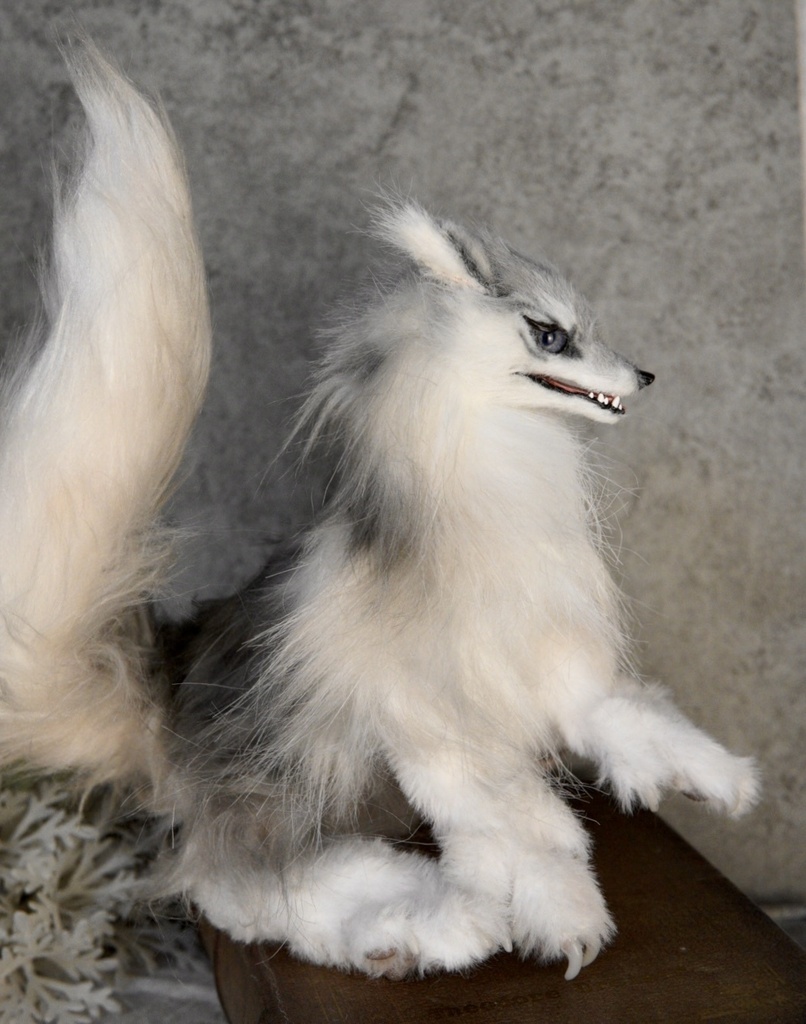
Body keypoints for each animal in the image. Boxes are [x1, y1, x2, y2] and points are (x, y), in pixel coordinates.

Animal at [0, 44, 759, 982]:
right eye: (551, 335)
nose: (646, 375)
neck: (499, 490)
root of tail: (167, 690)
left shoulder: (550, 676)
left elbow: (625, 723)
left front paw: (714, 779)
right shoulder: (433, 727)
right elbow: (528, 831)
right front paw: (564, 922)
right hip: (277, 787)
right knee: (243, 884)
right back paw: (425, 924)